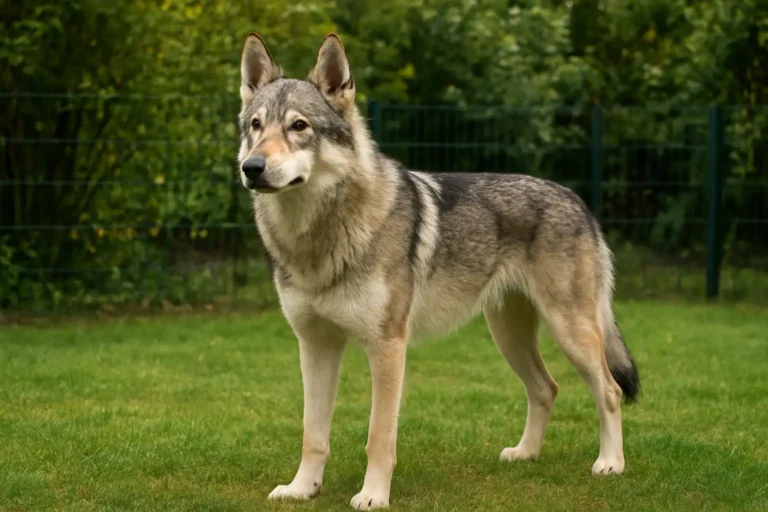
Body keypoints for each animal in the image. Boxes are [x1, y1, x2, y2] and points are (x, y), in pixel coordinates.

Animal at [236, 32, 640, 510]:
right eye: (256, 126)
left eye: (299, 126)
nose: (251, 168)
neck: (317, 239)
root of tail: (577, 199)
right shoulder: (315, 346)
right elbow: (312, 434)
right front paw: (302, 488)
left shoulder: (388, 347)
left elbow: (379, 436)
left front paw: (373, 495)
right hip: (508, 336)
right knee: (547, 388)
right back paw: (525, 453)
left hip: (570, 332)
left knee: (610, 390)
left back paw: (610, 464)